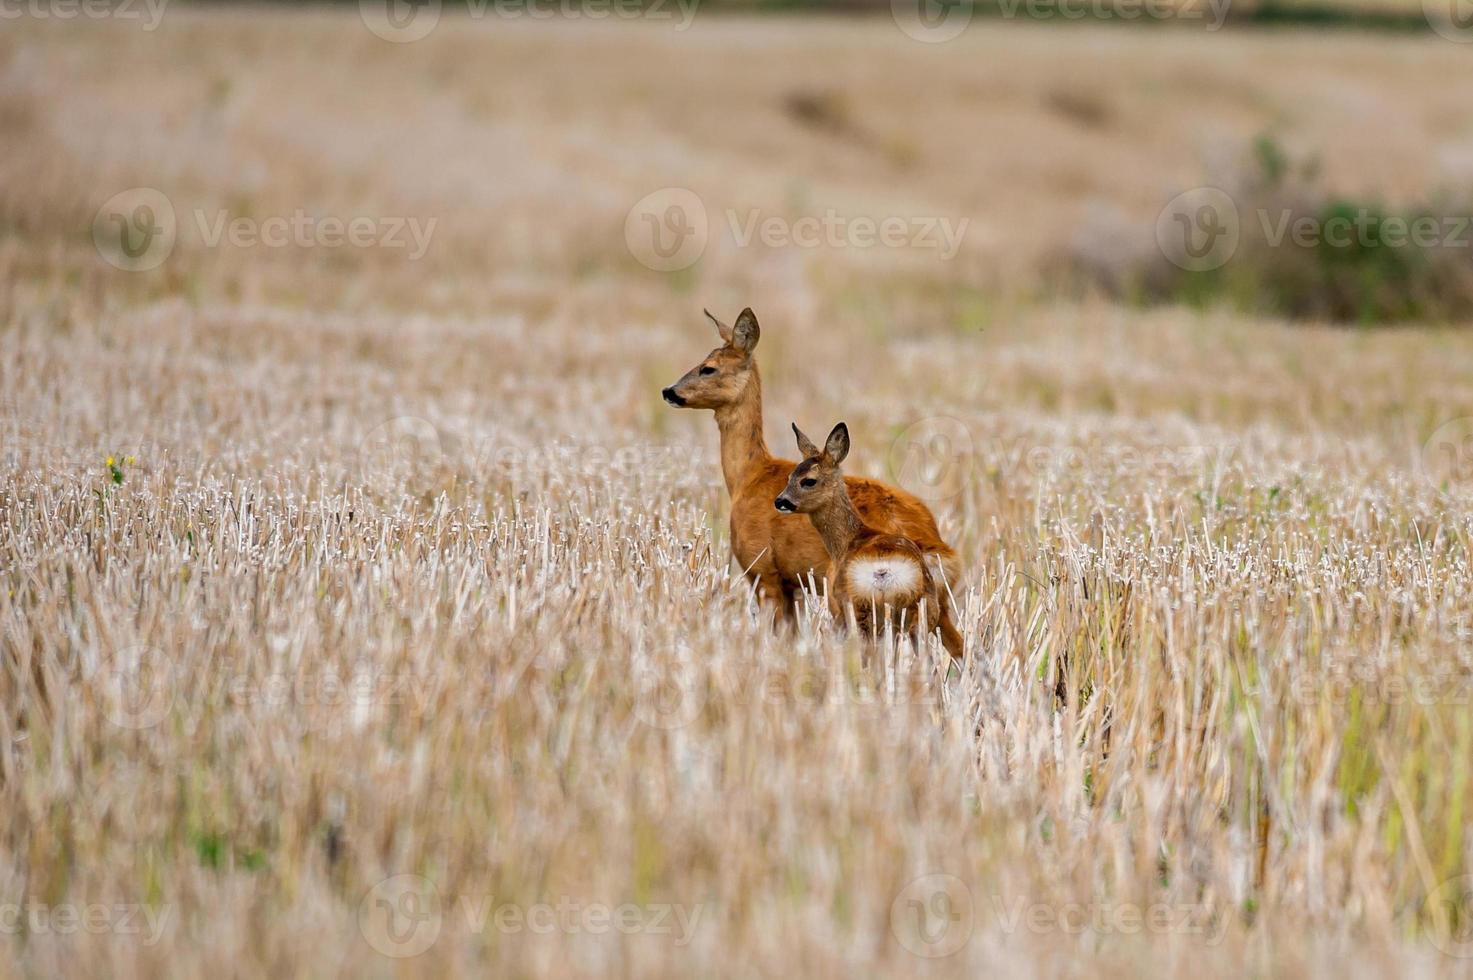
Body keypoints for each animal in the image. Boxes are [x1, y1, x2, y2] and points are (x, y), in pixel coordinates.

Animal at [662, 306, 960, 616]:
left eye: (708, 367)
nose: (668, 391)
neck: (748, 476)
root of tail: (935, 545)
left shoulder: (764, 571)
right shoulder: (793, 585)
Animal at [771, 421, 966, 657]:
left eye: (808, 481)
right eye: (789, 477)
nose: (780, 501)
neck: (848, 540)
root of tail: (884, 568)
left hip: (860, 606)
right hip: (922, 609)